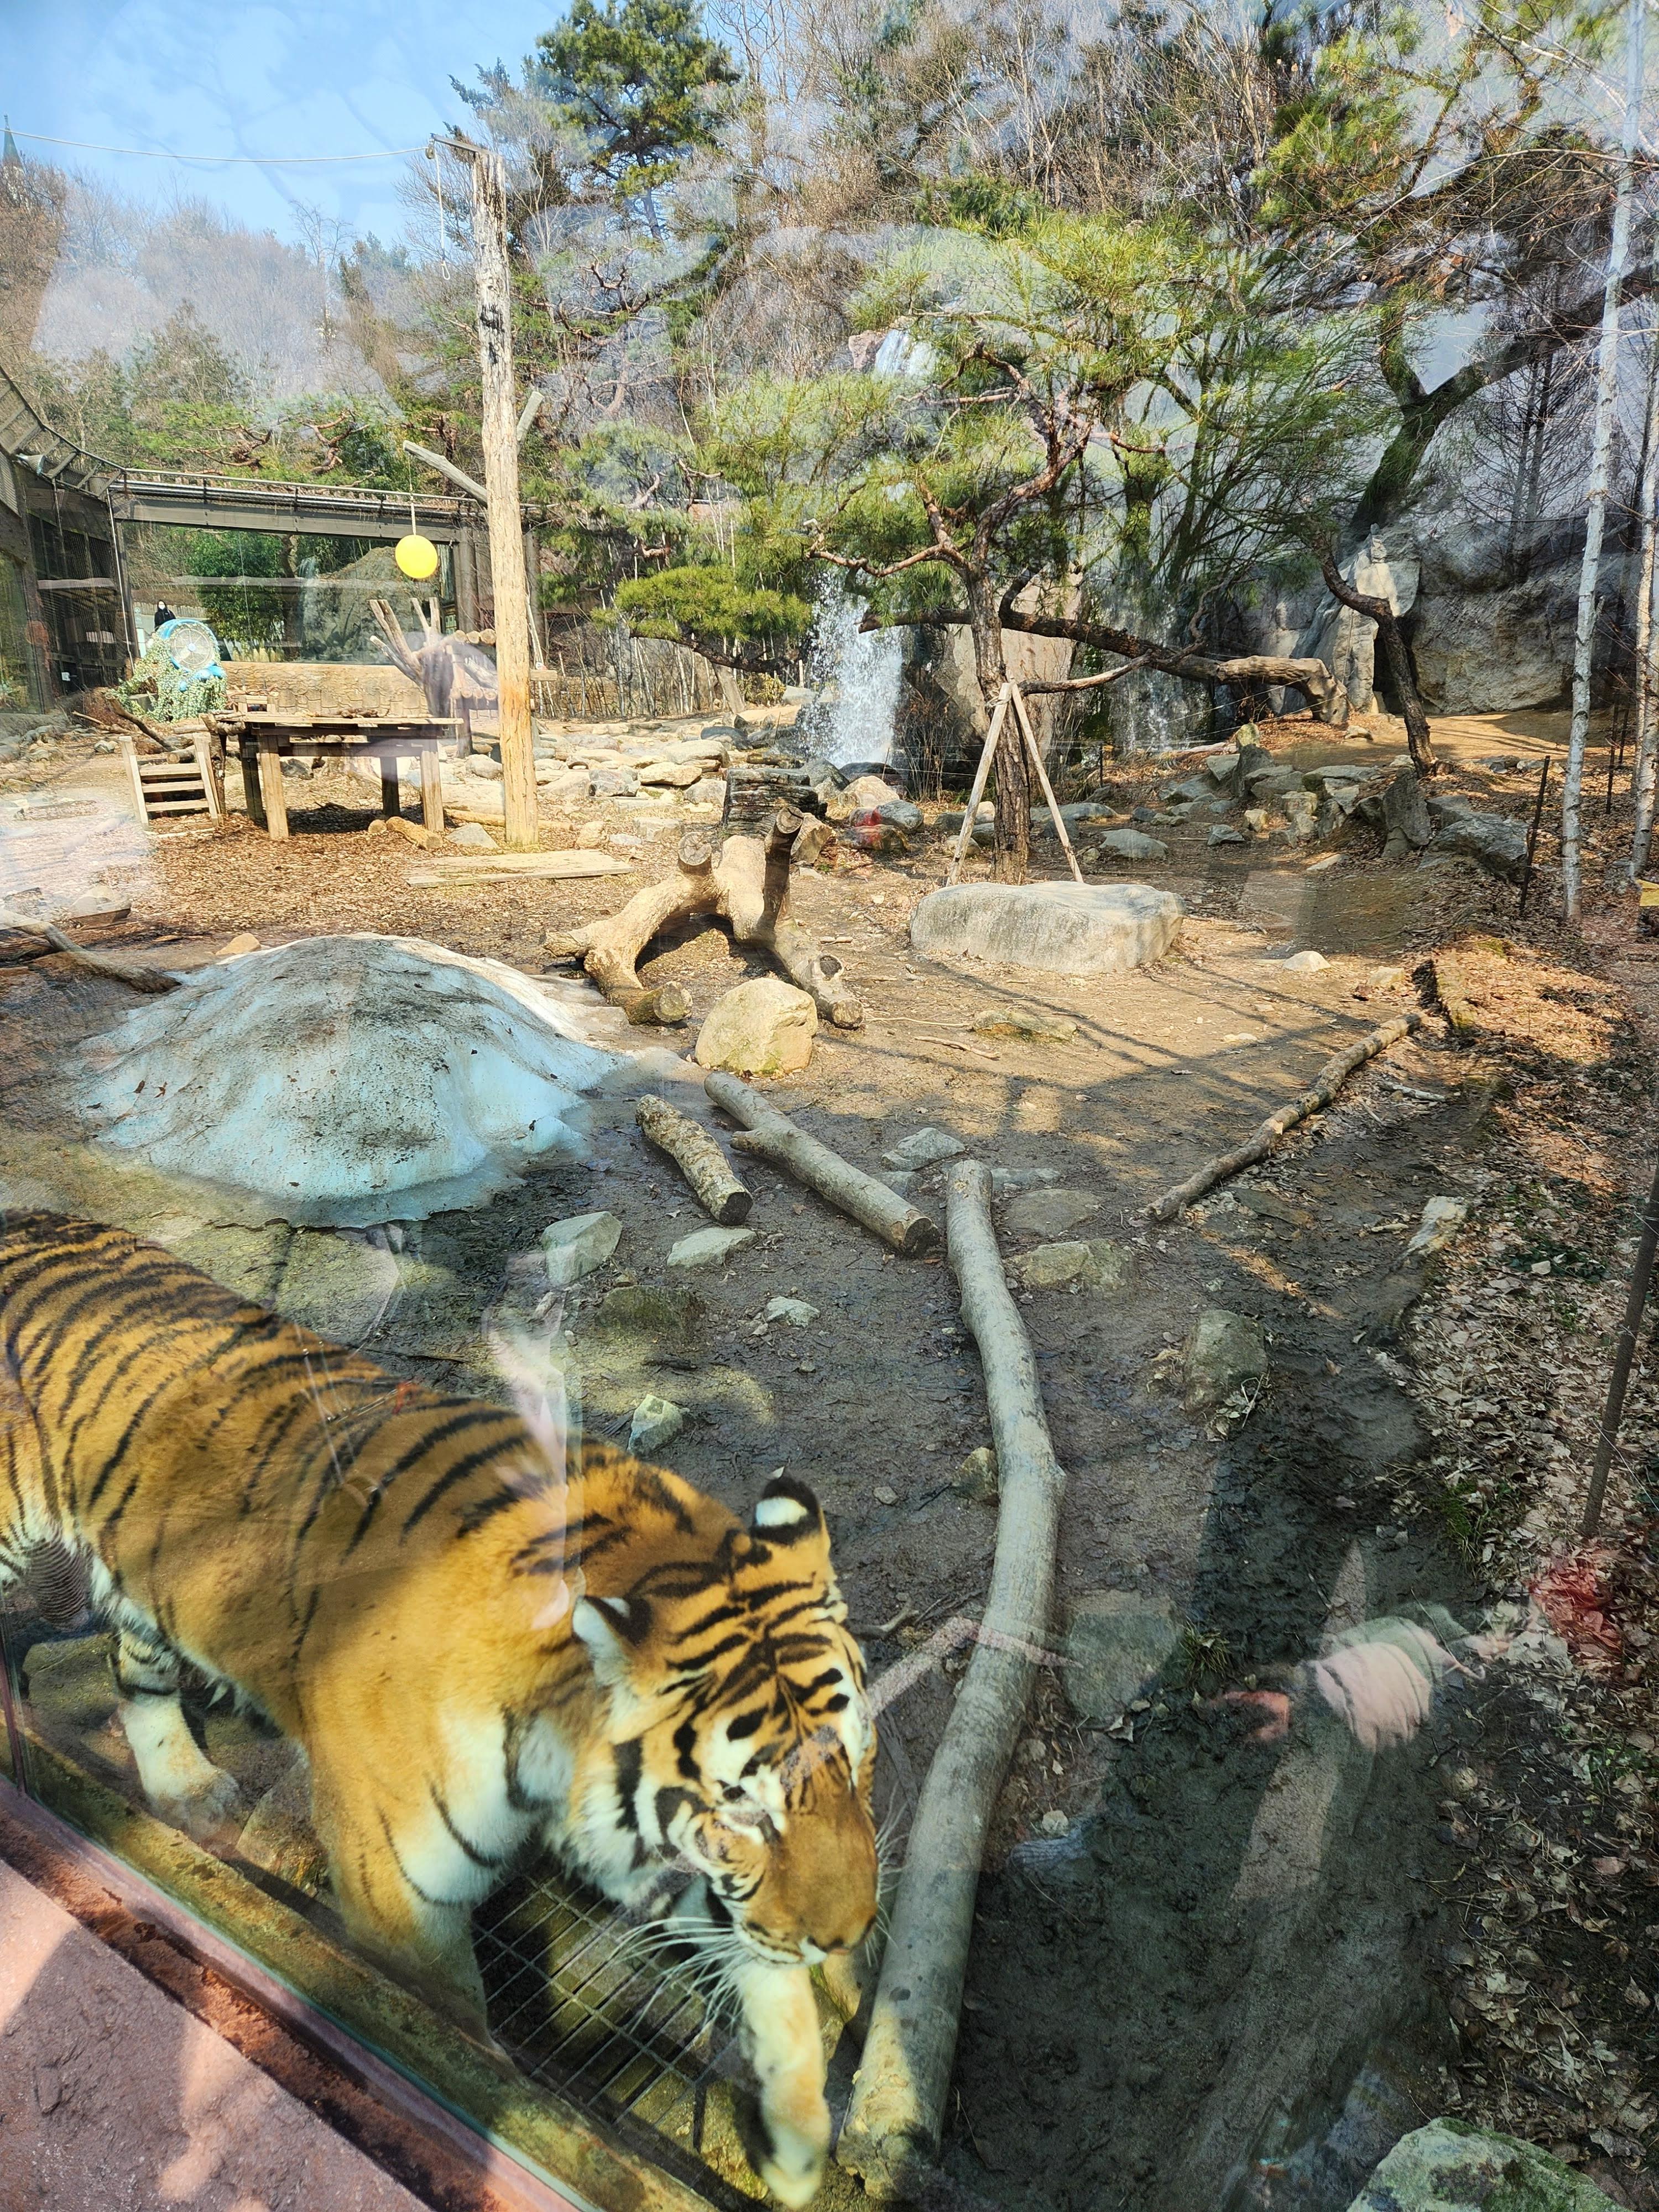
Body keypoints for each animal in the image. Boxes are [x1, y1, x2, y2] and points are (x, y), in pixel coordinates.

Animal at [0, 1212, 877, 2206]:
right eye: (743, 1809)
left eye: (856, 1759)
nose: (851, 1933)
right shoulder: (401, 1903)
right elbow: (461, 2049)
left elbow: (768, 1971)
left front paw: (796, 2141)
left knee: (136, 1659)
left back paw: (186, 1787)